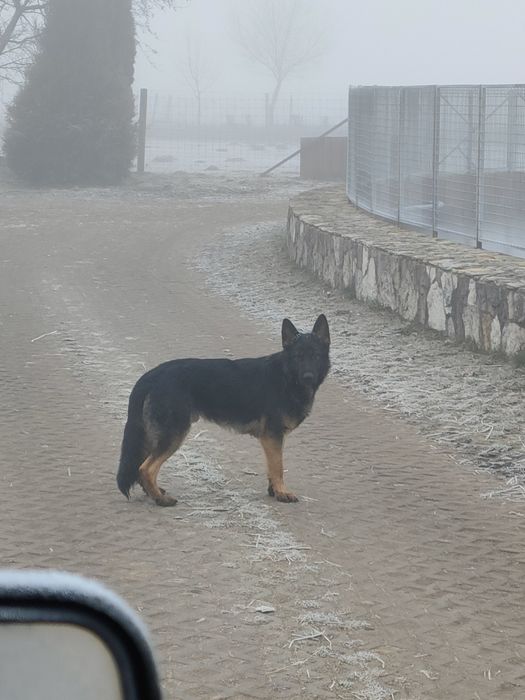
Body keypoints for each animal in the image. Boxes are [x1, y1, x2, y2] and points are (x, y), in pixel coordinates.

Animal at [117, 314, 330, 506]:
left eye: (316, 356)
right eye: (298, 357)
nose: (308, 377)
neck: (286, 376)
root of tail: (151, 375)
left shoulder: (274, 439)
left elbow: (272, 466)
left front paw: (273, 491)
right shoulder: (272, 436)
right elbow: (278, 467)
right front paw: (282, 492)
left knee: (141, 466)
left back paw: (155, 493)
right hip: (173, 435)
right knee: (146, 469)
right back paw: (161, 500)